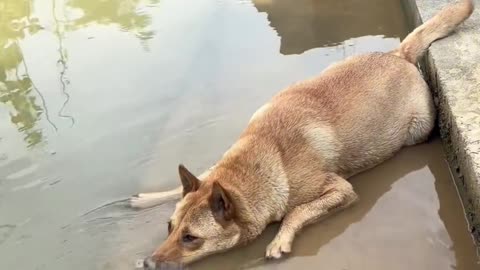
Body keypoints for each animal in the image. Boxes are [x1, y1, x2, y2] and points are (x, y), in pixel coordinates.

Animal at [129, 1, 474, 268]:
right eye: (169, 227)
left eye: (191, 238)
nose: (147, 263)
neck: (258, 161)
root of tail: (398, 54)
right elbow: (199, 175)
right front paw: (152, 197)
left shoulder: (340, 190)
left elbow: (296, 211)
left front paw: (280, 238)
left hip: (418, 130)